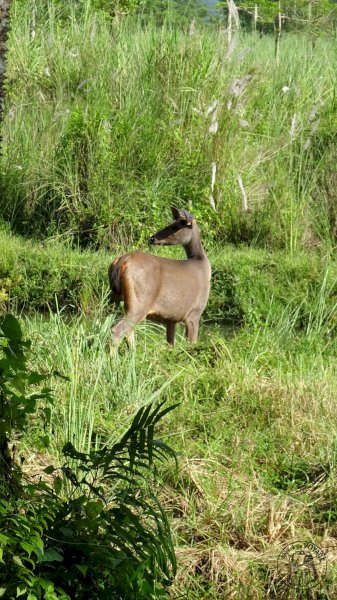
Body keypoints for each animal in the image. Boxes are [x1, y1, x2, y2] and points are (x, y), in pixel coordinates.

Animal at [108, 207, 210, 344]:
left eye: (175, 226)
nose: (152, 239)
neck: (201, 262)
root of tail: (121, 261)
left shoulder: (171, 319)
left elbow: (170, 344)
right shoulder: (194, 313)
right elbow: (191, 343)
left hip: (121, 301)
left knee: (128, 331)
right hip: (140, 302)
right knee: (118, 330)